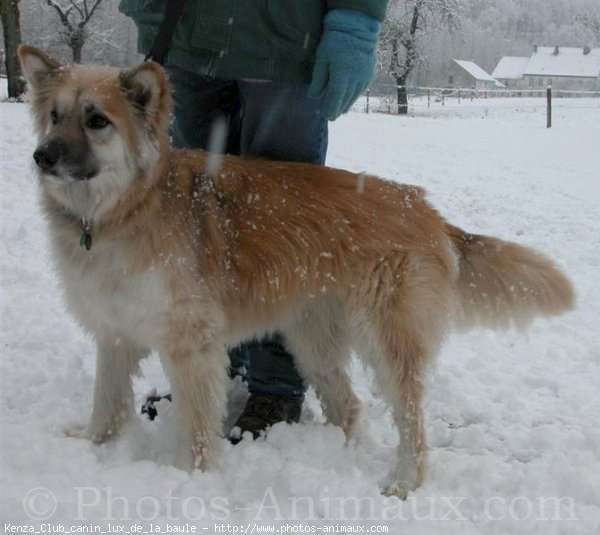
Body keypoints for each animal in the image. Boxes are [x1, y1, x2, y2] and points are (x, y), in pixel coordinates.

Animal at [16, 46, 576, 498]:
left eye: (97, 121)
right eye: (54, 115)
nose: (41, 157)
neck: (121, 209)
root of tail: (424, 207)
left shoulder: (191, 344)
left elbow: (195, 425)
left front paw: (187, 482)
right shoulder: (114, 330)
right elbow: (106, 400)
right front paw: (91, 442)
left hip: (387, 342)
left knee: (412, 423)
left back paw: (403, 482)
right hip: (313, 340)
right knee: (349, 406)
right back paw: (336, 454)